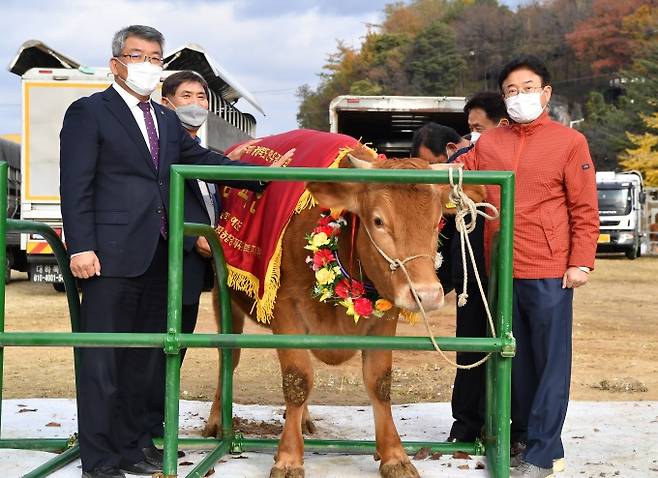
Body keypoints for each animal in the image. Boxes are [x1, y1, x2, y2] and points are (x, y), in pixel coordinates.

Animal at [202, 147, 484, 478]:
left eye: (437, 220)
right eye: (378, 221)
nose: (426, 294)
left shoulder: (385, 318)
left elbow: (379, 383)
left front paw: (395, 456)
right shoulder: (286, 311)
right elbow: (297, 381)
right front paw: (288, 458)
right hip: (224, 300)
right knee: (228, 358)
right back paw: (216, 422)